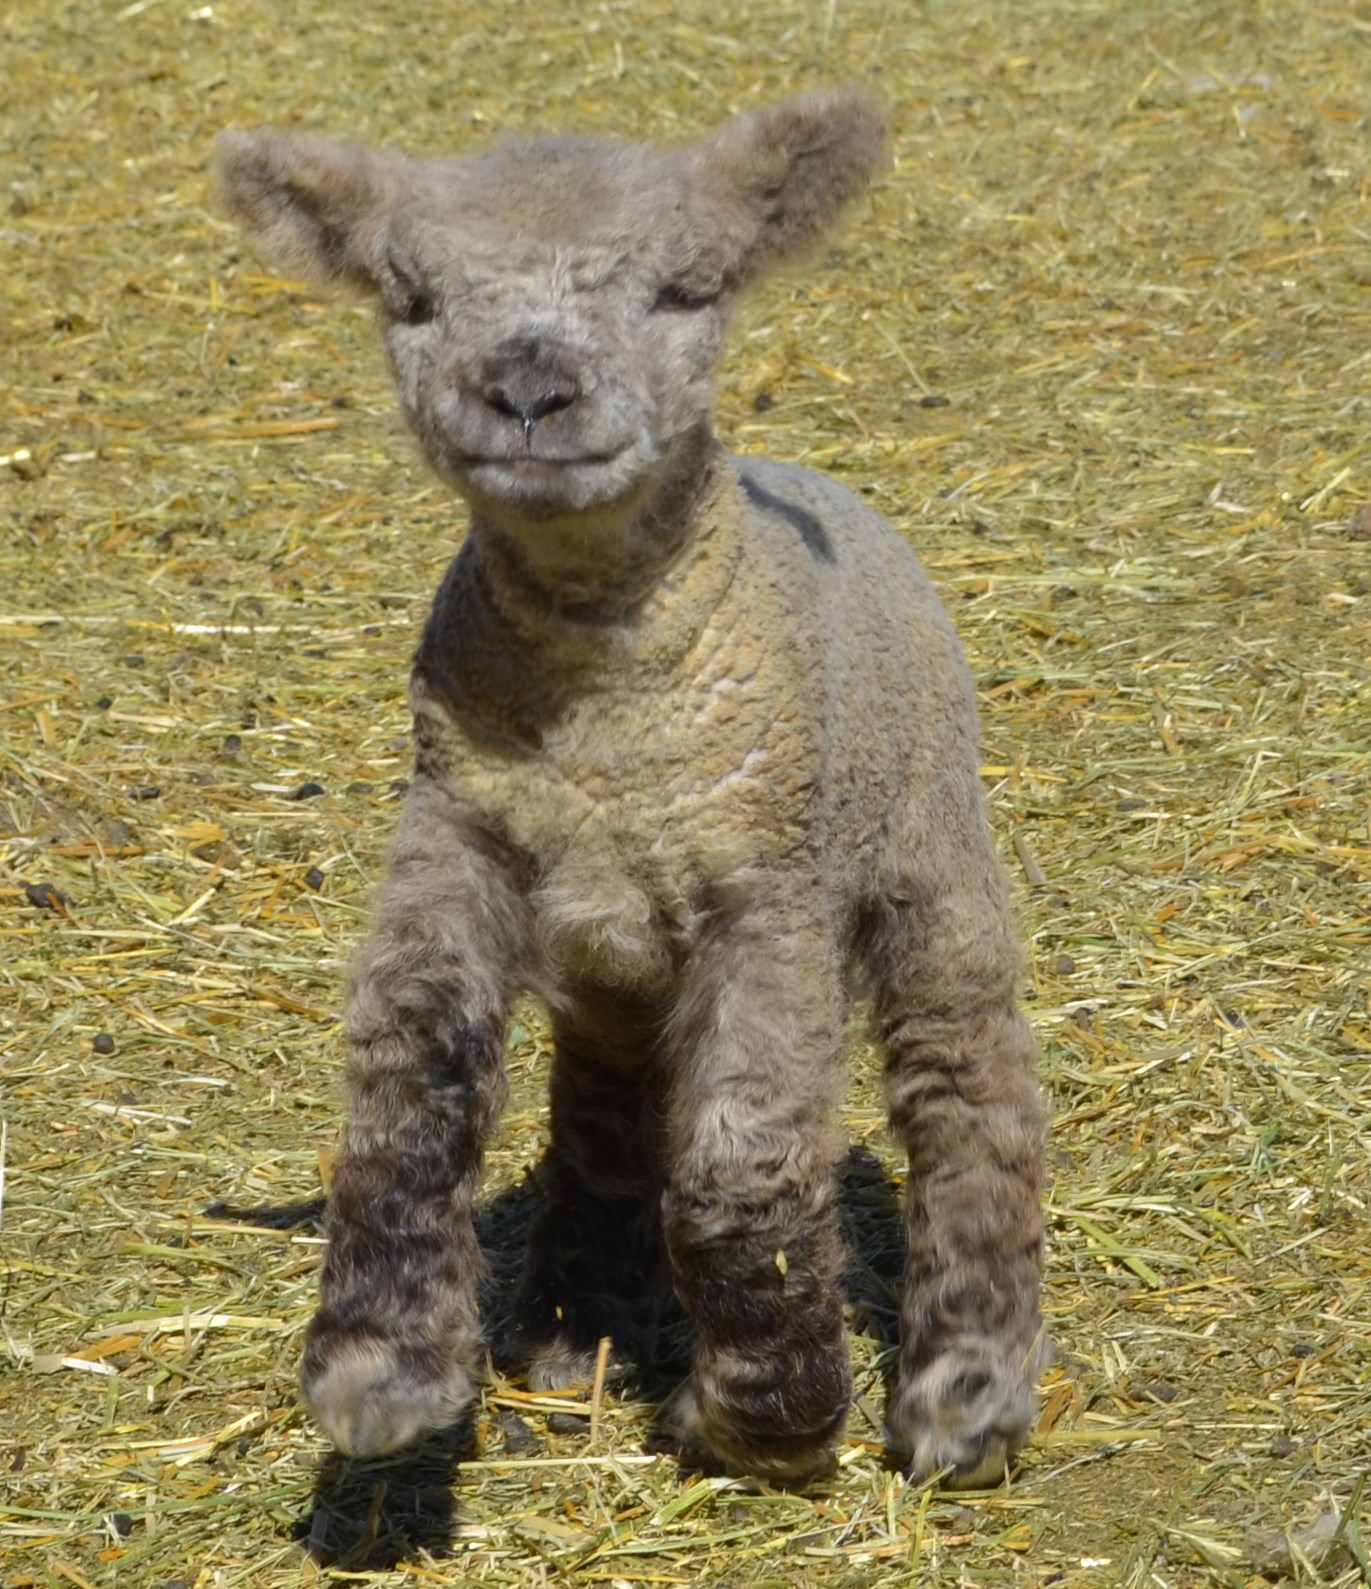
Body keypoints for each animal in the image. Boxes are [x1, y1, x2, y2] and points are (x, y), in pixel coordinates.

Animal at [217, 86, 1048, 1480]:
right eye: (412, 298)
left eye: (682, 289)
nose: (528, 389)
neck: (603, 728)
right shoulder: (458, 829)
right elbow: (413, 1085)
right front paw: (380, 1366)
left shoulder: (768, 889)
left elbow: (740, 1167)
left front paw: (763, 1417)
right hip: (617, 961)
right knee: (609, 1109)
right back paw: (578, 1326)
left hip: (930, 832)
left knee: (967, 1076)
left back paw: (967, 1390)